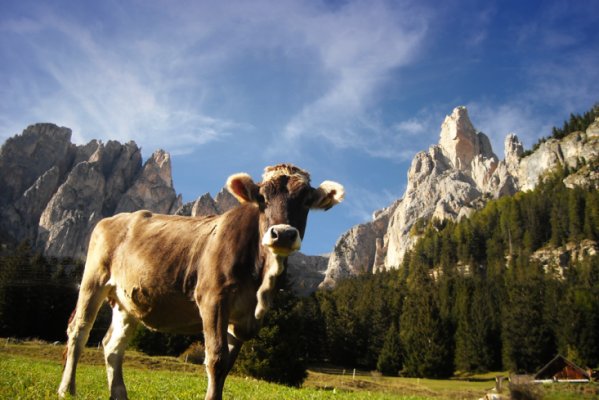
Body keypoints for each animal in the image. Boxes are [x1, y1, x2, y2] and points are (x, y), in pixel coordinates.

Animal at [58, 163, 344, 400]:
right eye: (262, 197)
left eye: (305, 200)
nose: (283, 234)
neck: (261, 280)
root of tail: (117, 217)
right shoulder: (213, 298)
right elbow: (216, 358)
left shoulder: (243, 317)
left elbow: (227, 364)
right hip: (94, 279)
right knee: (78, 331)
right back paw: (66, 389)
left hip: (128, 300)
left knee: (112, 346)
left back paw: (119, 394)